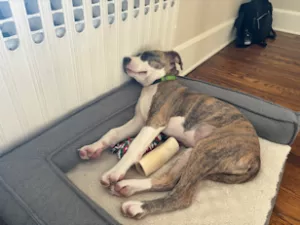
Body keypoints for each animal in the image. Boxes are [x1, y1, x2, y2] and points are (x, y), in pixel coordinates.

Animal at [78, 50, 260, 219]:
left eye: (147, 55)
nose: (125, 59)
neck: (156, 83)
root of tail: (257, 156)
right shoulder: (139, 121)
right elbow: (113, 132)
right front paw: (92, 149)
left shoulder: (155, 121)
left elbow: (135, 146)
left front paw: (114, 172)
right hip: (191, 152)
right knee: (169, 181)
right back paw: (128, 187)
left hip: (207, 149)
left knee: (181, 196)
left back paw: (138, 206)